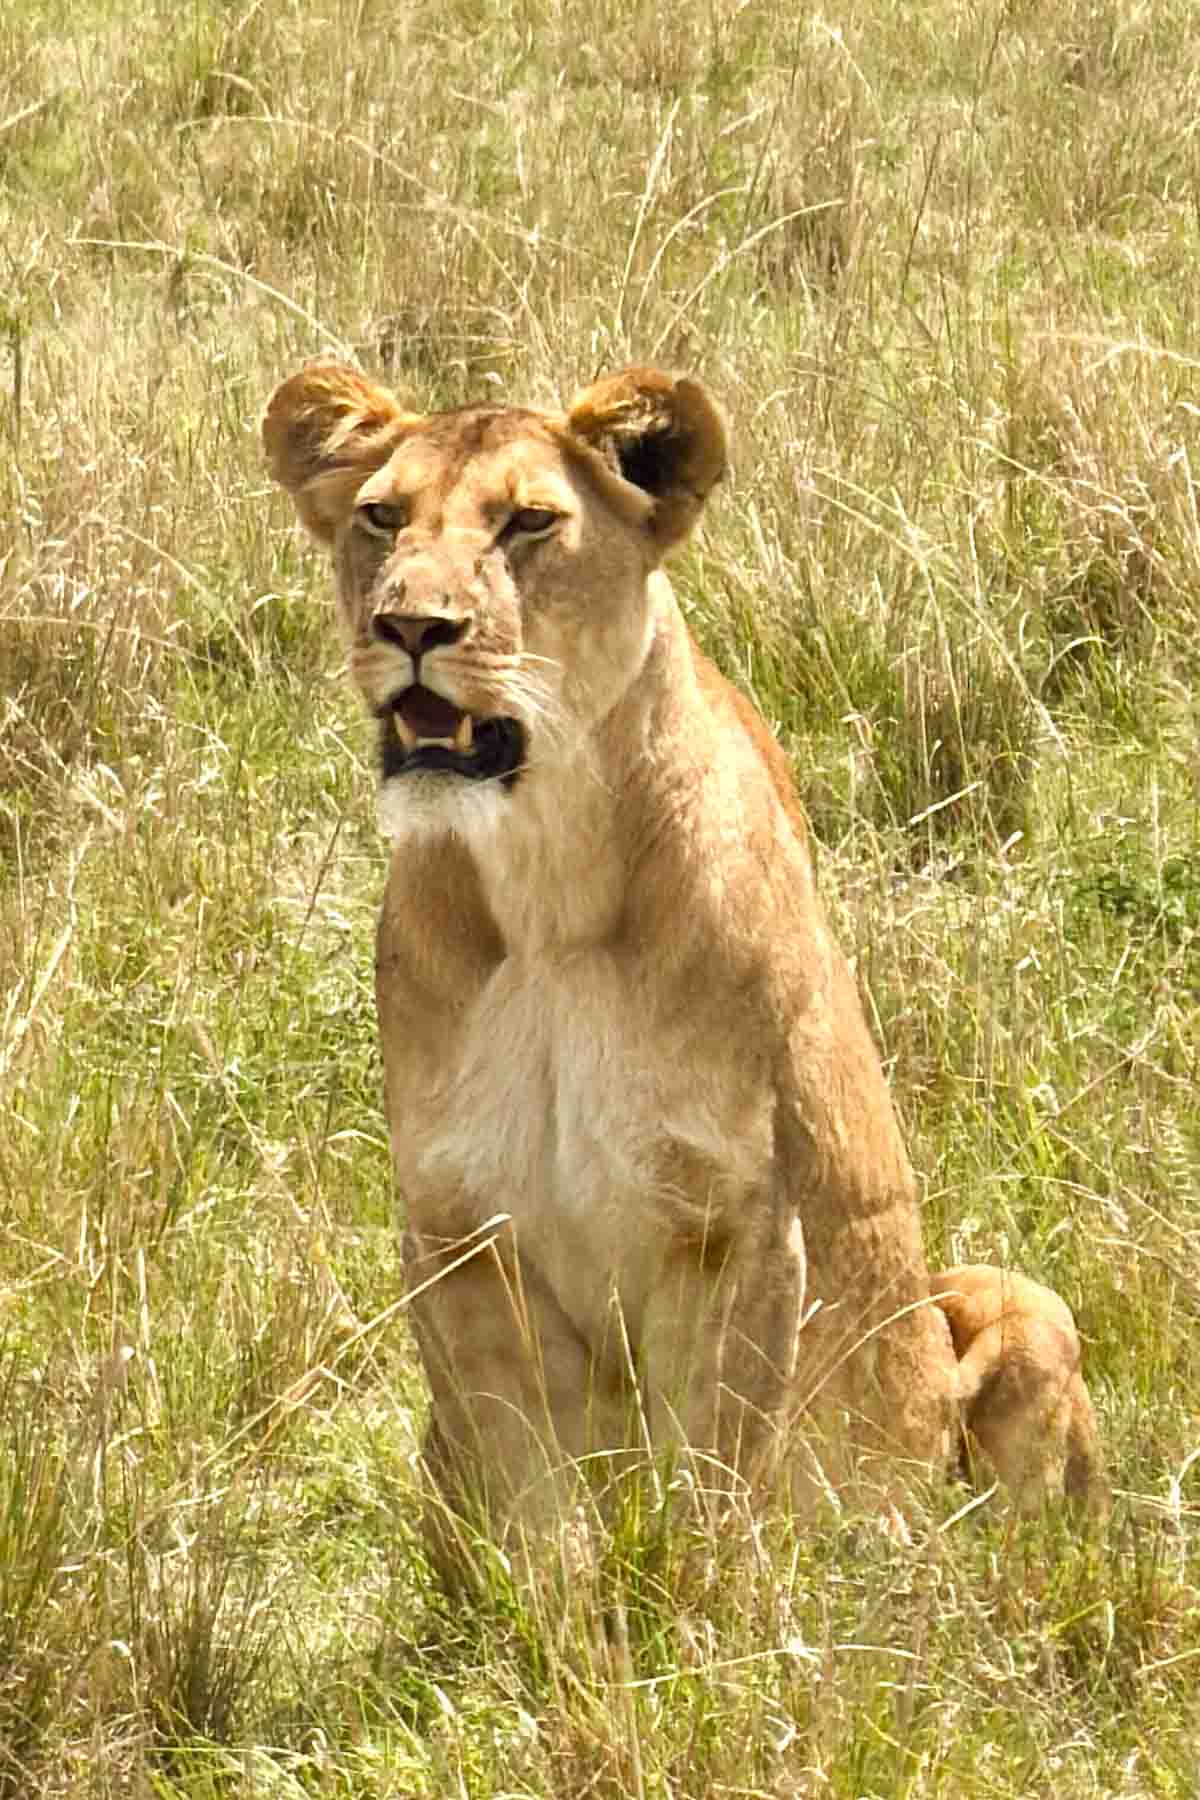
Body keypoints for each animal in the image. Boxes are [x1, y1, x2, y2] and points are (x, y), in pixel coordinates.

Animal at [262, 357, 964, 1555]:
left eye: (528, 522)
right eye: (383, 518)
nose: (409, 624)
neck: (545, 885)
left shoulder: (730, 1223)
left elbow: (701, 1496)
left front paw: (689, 1605)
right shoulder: (463, 1233)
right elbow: (538, 1513)